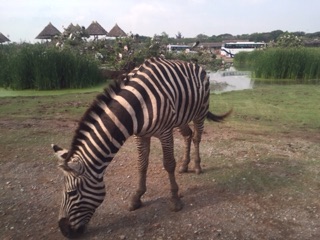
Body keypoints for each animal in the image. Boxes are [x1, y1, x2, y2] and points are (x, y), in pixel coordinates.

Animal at [53, 56, 232, 238]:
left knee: (196, 138)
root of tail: (193, 63)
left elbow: (169, 164)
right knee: (187, 135)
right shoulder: (141, 135)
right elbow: (142, 164)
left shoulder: (165, 132)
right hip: (181, 117)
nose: (64, 230)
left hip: (200, 112)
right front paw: (137, 197)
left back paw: (196, 166)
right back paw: (184, 165)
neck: (138, 106)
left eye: (72, 193)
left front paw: (175, 200)